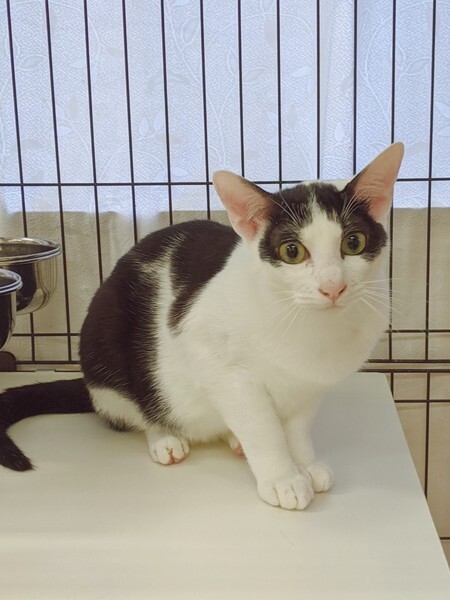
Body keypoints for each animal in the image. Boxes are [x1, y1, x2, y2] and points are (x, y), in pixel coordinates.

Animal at [0, 142, 404, 511]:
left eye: (353, 242)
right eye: (292, 252)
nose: (333, 286)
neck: (307, 325)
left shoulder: (308, 385)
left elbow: (297, 427)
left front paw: (305, 462)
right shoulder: (218, 362)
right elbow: (262, 427)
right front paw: (283, 477)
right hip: (105, 343)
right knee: (133, 408)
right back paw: (164, 437)